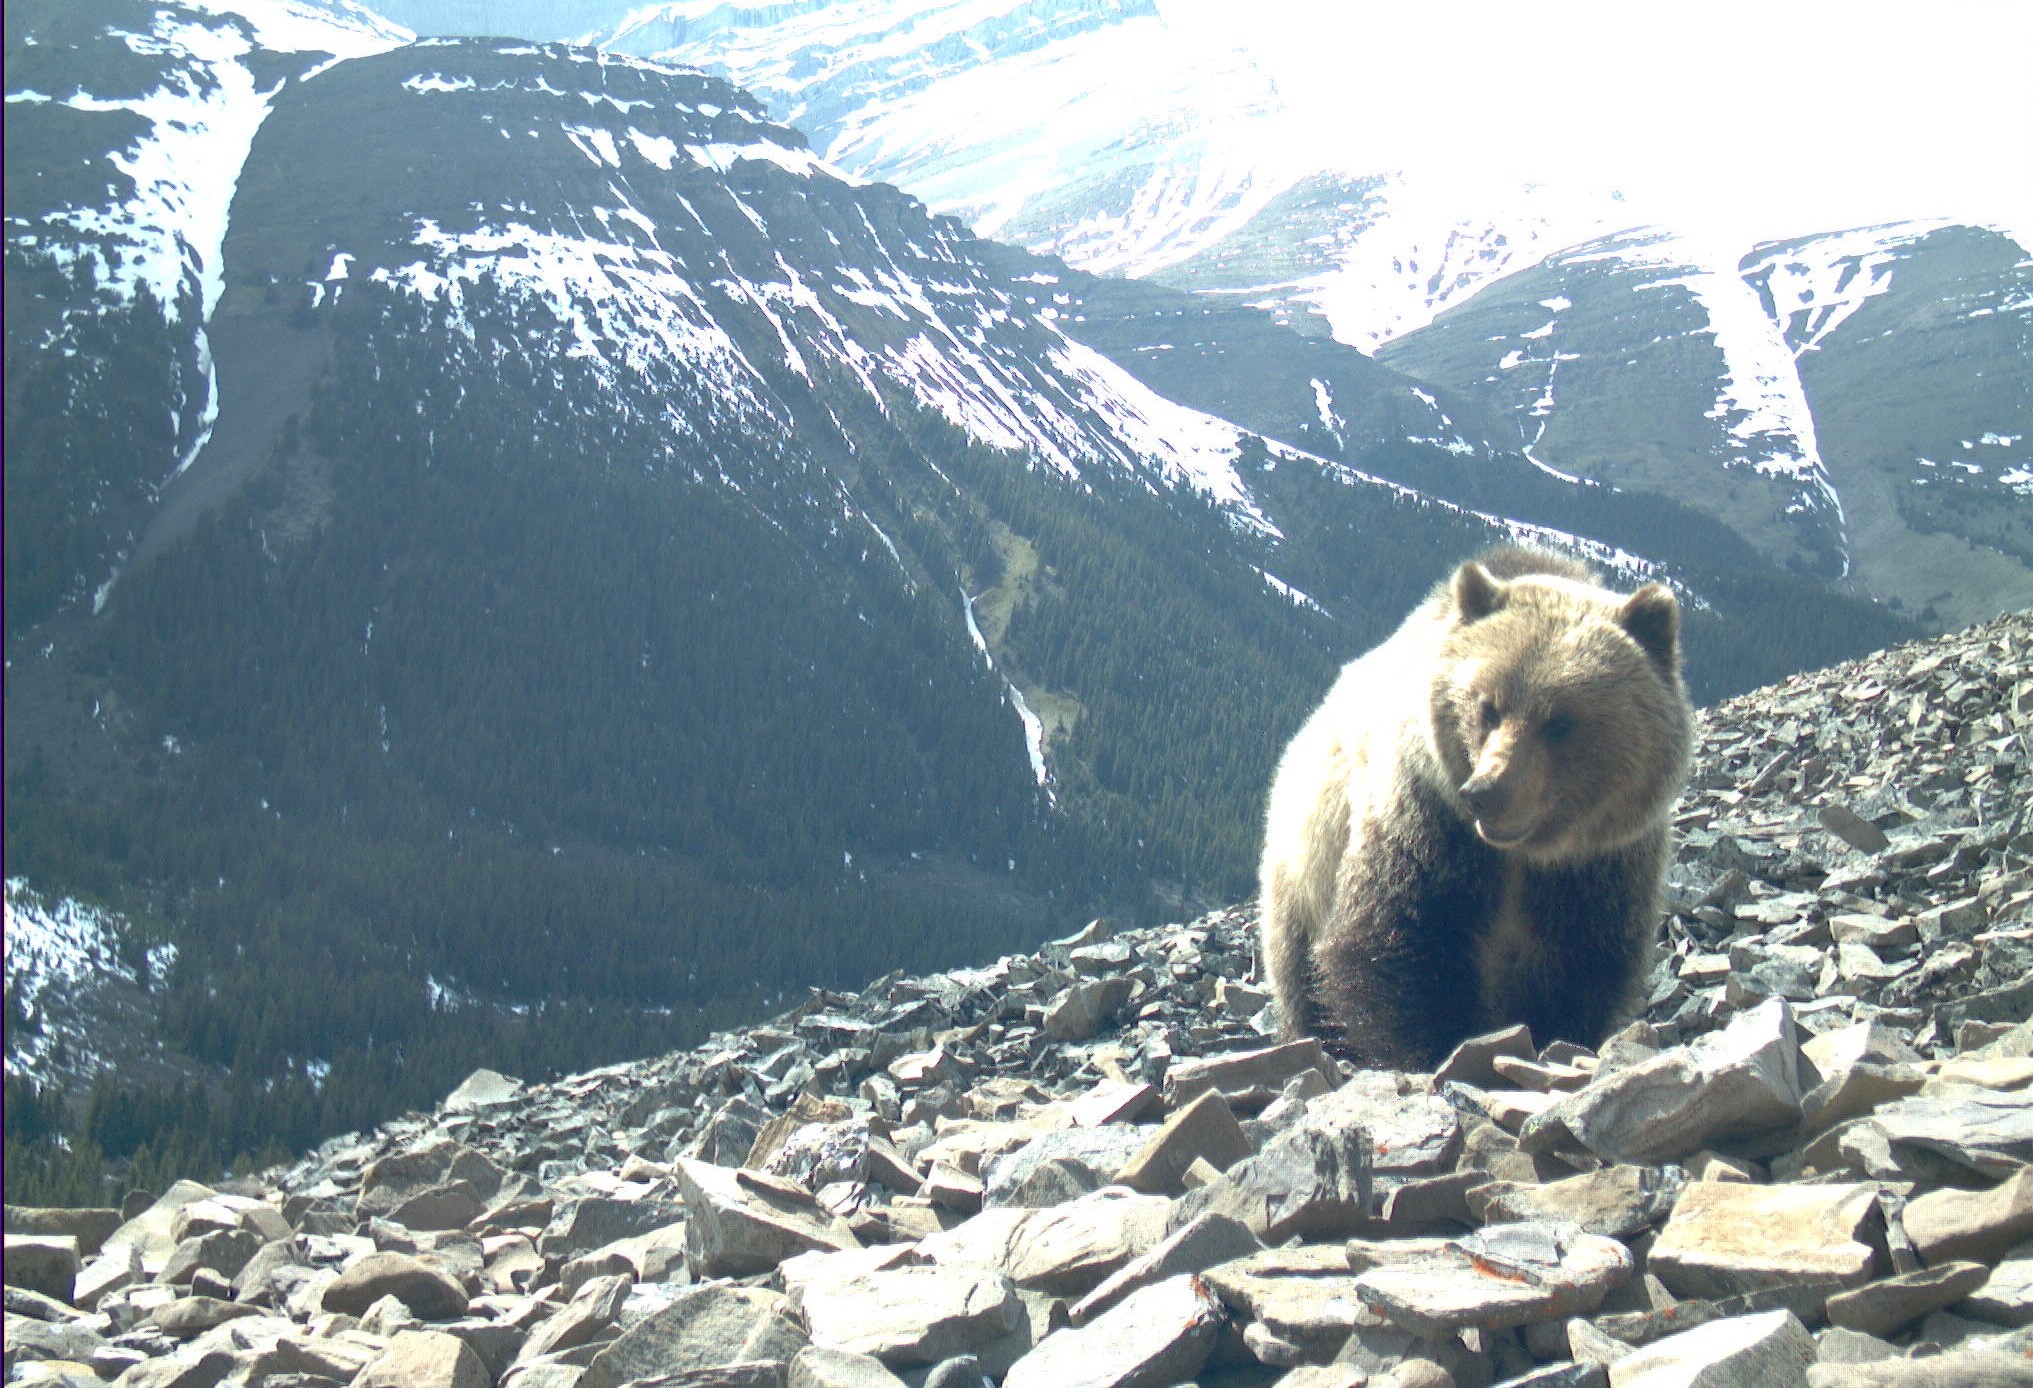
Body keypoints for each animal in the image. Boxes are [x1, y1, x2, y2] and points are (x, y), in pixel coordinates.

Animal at [1260, 548, 1691, 1073]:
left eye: (1560, 722)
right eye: (1488, 707)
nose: (1486, 791)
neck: (1523, 857)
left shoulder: (1600, 862)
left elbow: (1583, 961)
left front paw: (1559, 1037)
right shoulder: (1428, 823)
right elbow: (1398, 939)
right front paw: (1433, 1048)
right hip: (1303, 873)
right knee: (1300, 976)